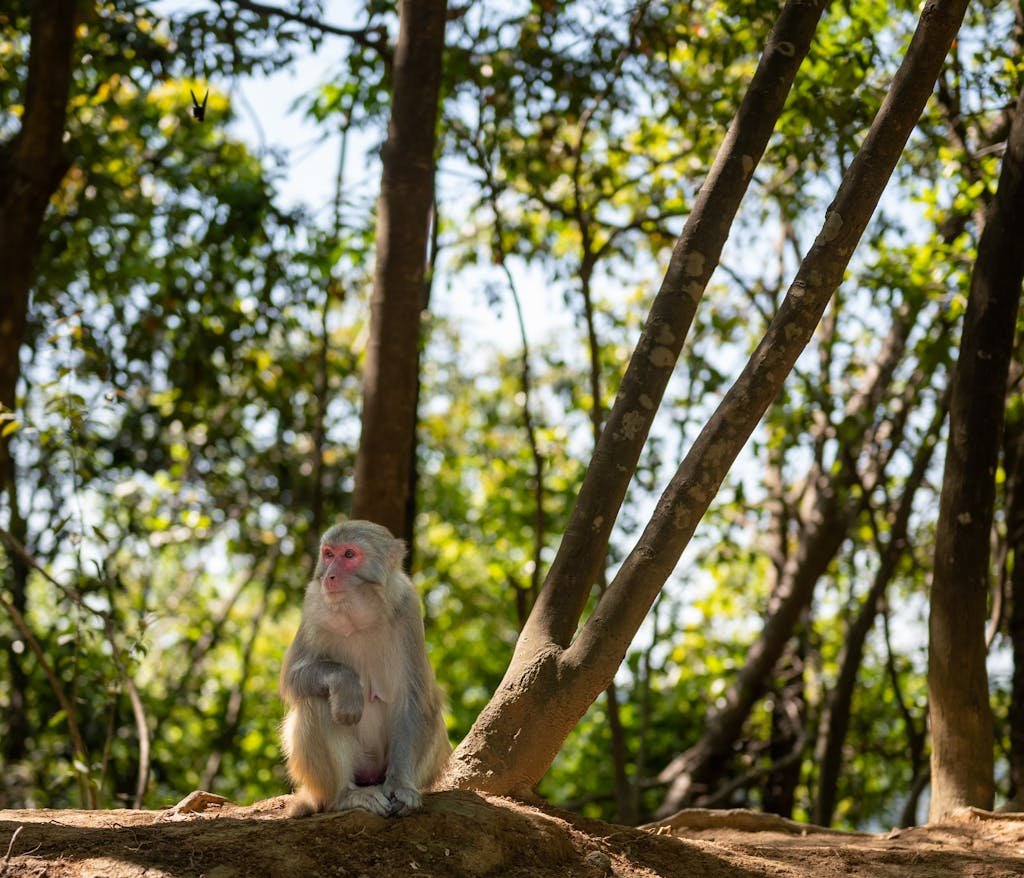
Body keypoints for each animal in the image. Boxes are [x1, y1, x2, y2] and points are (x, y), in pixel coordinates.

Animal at [279, 520, 450, 818]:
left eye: (349, 555)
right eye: (328, 554)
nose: (330, 576)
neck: (358, 616)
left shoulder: (408, 610)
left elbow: (413, 699)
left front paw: (401, 785)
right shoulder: (312, 607)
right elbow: (292, 679)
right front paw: (347, 685)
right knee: (317, 700)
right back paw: (344, 796)